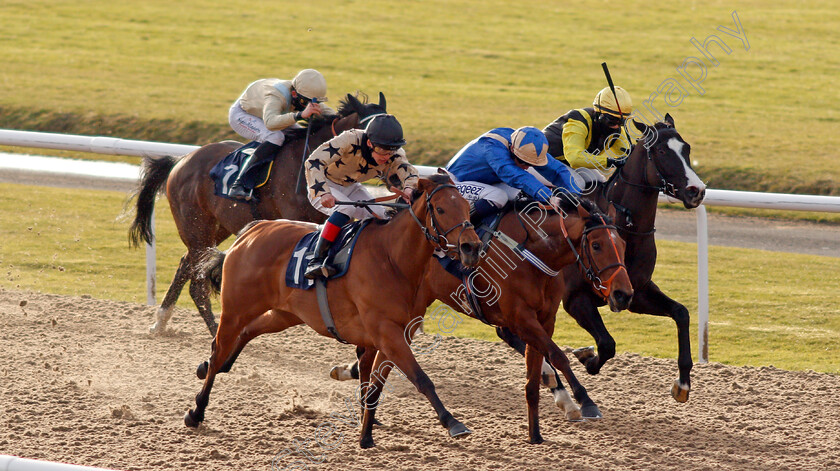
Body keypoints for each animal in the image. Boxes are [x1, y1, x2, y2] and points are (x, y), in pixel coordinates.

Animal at [126, 92, 388, 336]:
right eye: (371, 132)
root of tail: (180, 161)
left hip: (215, 228)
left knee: (186, 265)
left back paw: (160, 322)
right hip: (196, 227)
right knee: (197, 284)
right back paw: (215, 329)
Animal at [186, 175, 482, 448]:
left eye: (467, 207)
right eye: (440, 209)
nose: (472, 246)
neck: (392, 259)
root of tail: (252, 230)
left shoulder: (393, 336)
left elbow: (374, 387)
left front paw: (366, 435)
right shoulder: (387, 332)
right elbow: (420, 378)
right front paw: (453, 422)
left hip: (285, 314)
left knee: (247, 331)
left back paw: (210, 368)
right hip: (236, 308)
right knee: (219, 348)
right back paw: (197, 410)